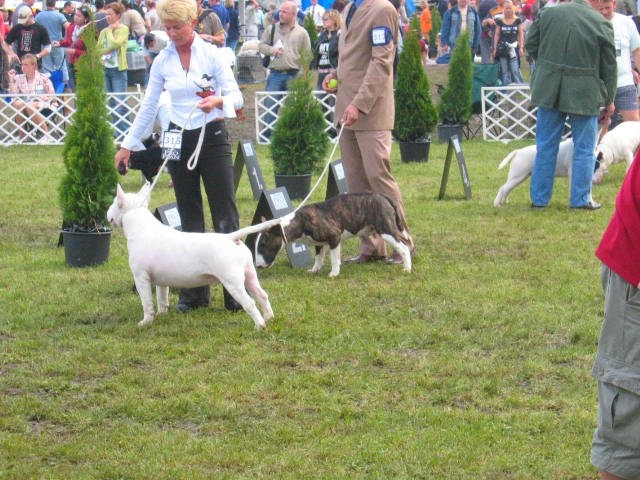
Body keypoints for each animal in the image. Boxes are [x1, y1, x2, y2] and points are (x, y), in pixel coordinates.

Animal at [107, 184, 278, 330]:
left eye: (114, 202)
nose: (107, 214)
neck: (140, 226)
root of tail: (230, 238)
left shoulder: (141, 277)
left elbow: (147, 302)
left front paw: (145, 322)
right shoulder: (161, 281)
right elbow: (162, 299)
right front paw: (162, 315)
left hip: (232, 282)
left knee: (249, 302)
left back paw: (260, 326)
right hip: (250, 275)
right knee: (262, 295)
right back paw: (269, 317)